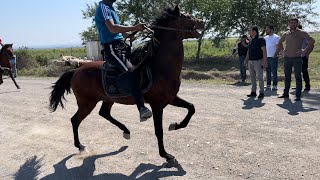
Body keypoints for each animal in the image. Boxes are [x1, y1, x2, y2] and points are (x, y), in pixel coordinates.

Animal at [50, 6, 205, 165]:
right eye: (186, 16)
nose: (202, 22)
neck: (160, 67)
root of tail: (76, 70)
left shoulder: (171, 98)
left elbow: (191, 108)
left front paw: (175, 126)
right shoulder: (157, 104)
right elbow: (159, 131)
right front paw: (166, 155)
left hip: (108, 99)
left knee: (103, 113)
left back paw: (126, 131)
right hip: (87, 103)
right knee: (75, 120)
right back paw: (80, 146)